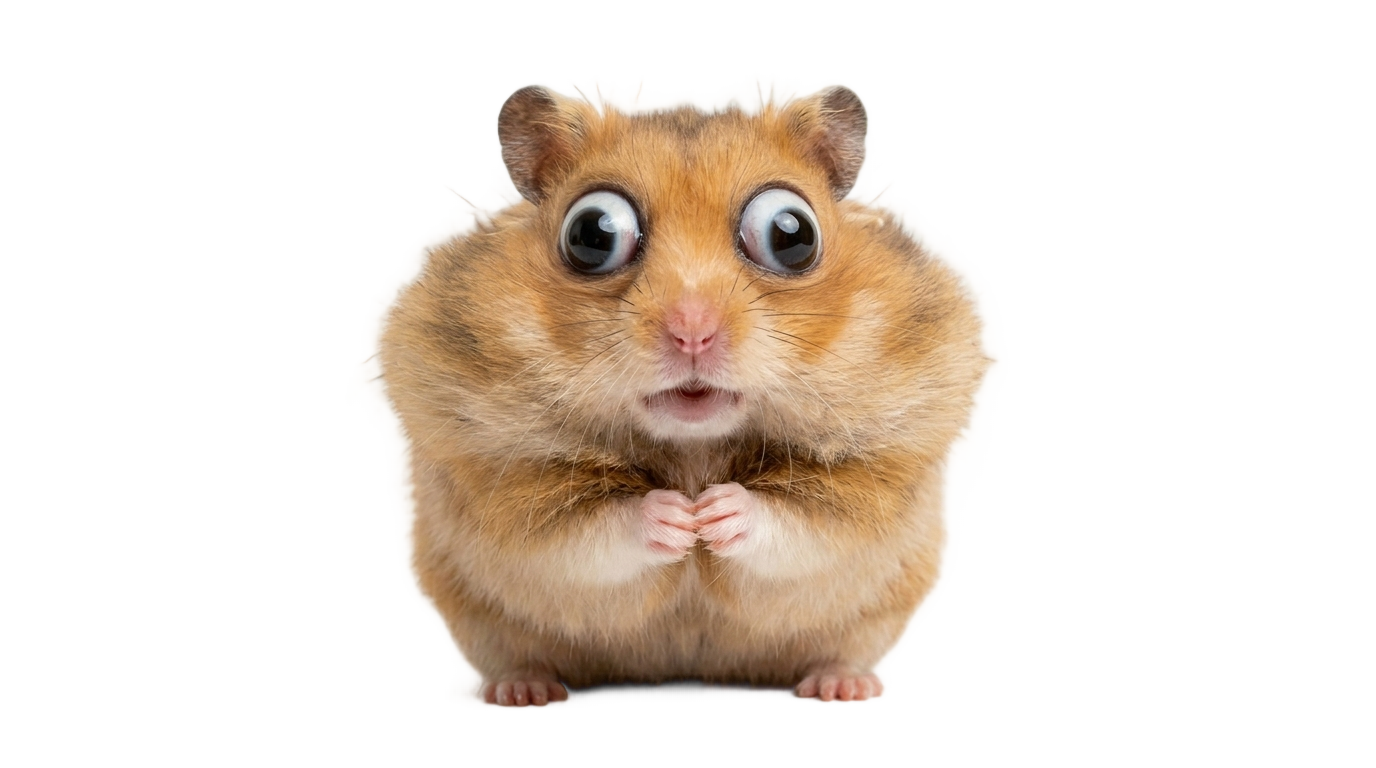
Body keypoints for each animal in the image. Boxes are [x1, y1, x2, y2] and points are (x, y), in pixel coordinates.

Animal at [377, 85, 983, 705]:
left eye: (791, 234)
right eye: (592, 234)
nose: (693, 331)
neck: (693, 444)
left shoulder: (876, 472)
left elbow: (803, 521)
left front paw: (712, 514)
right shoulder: (503, 477)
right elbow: (586, 529)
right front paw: (678, 517)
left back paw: (844, 690)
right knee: (517, 659)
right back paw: (524, 696)